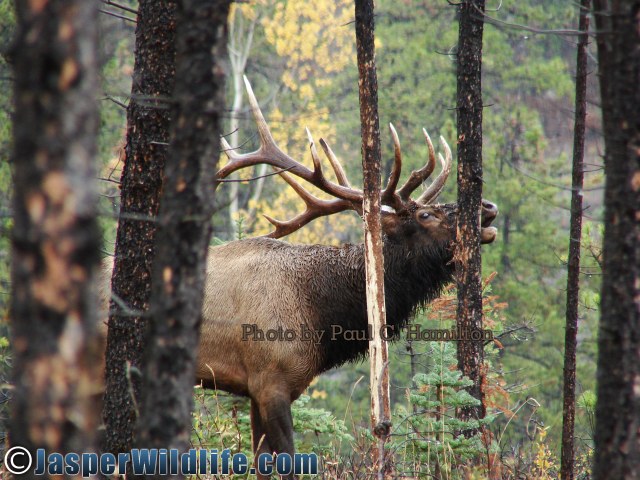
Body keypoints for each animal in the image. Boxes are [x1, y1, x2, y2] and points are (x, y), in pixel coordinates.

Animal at [102, 78, 498, 479]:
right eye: (426, 216)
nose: (487, 207)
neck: (322, 317)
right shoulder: (271, 381)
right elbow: (290, 463)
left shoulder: (256, 388)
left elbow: (261, 463)